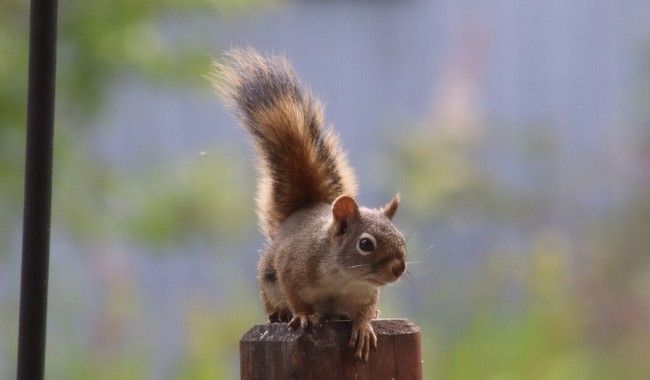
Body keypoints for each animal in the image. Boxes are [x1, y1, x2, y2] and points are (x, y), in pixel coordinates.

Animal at [210, 48, 404, 362]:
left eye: (402, 239)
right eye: (365, 244)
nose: (399, 268)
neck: (343, 277)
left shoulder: (364, 293)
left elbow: (363, 311)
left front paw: (364, 326)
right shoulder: (292, 268)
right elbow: (296, 296)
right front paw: (303, 316)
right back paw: (278, 315)